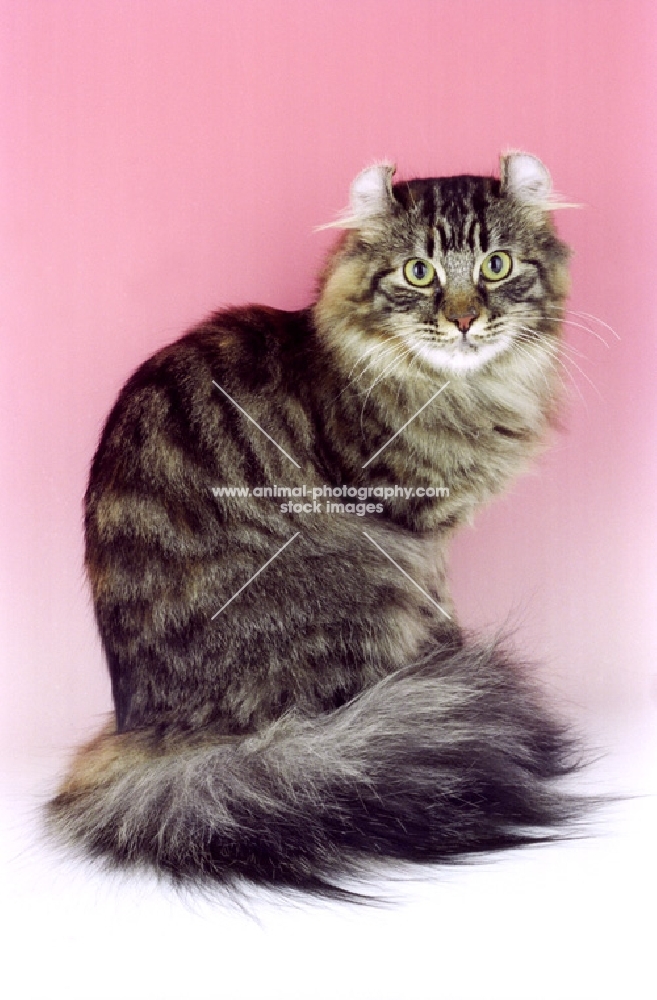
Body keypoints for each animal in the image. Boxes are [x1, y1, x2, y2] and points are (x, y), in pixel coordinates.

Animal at [47, 152, 580, 896]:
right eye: (420, 273)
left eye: (496, 266)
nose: (465, 320)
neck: (458, 390)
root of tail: (148, 740)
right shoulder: (413, 538)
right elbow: (441, 613)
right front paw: (456, 666)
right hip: (360, 589)